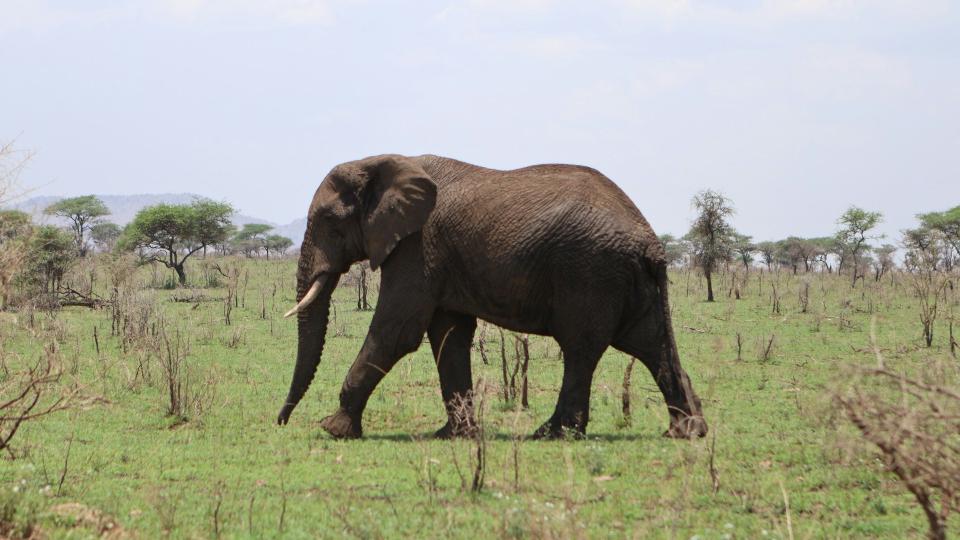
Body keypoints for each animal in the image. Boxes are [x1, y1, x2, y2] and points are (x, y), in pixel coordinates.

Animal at [276, 154, 707, 440]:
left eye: (329, 222)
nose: (280, 421)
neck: (381, 162)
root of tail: (651, 241)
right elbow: (450, 334)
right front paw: (454, 435)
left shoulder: (418, 246)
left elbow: (397, 331)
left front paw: (334, 429)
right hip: (627, 280)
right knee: (651, 345)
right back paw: (687, 432)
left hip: (591, 272)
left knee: (581, 348)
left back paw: (551, 434)